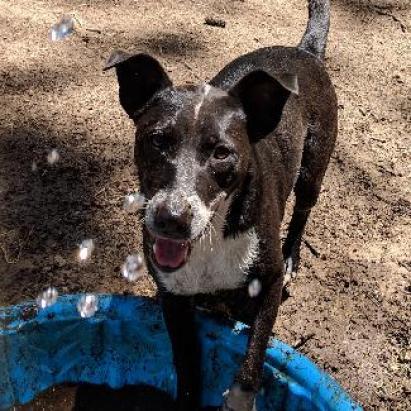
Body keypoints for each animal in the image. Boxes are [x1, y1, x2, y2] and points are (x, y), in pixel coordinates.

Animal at [105, 1, 338, 410]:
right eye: (157, 140)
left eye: (221, 153)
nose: (171, 220)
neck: (212, 239)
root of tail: (304, 51)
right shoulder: (173, 297)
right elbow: (186, 365)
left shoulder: (268, 285)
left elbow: (252, 361)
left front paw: (240, 399)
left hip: (313, 169)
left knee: (303, 212)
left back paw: (293, 256)